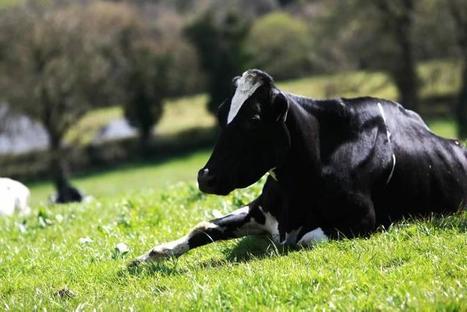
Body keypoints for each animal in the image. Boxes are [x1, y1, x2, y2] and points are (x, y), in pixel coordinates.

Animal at [132, 69, 467, 266]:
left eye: (253, 119)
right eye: (221, 111)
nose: (205, 177)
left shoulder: (362, 221)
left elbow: (305, 239)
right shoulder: (260, 210)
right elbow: (202, 227)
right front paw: (153, 253)